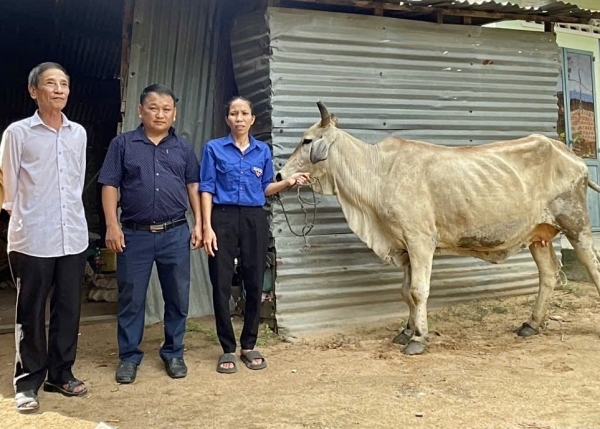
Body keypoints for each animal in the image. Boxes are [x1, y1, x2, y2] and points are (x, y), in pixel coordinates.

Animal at [278, 100, 600, 354]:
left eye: (307, 140)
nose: (280, 174)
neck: (378, 172)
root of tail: (567, 152)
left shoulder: (420, 240)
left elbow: (419, 290)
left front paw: (418, 338)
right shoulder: (404, 247)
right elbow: (405, 291)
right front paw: (405, 331)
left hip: (576, 225)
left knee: (592, 266)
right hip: (538, 235)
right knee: (548, 274)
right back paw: (531, 324)